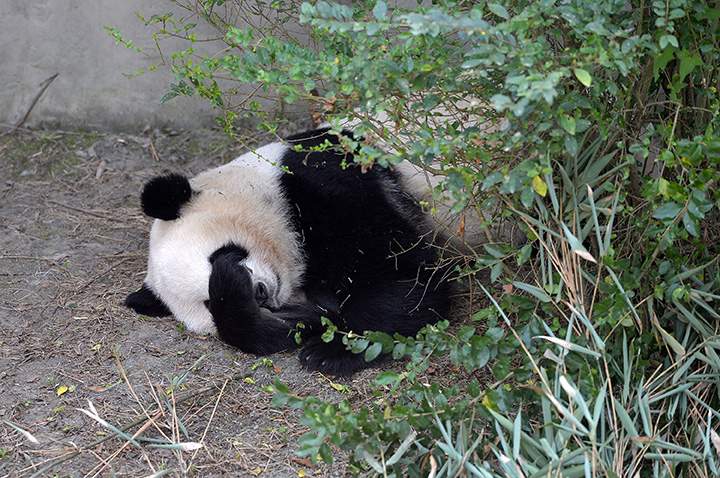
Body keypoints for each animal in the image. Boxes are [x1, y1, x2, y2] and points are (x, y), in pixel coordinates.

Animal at [125, 127, 452, 376]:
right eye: (208, 303)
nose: (259, 293)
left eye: (219, 254)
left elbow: (399, 271)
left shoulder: (329, 184)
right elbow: (274, 329)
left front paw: (331, 351)